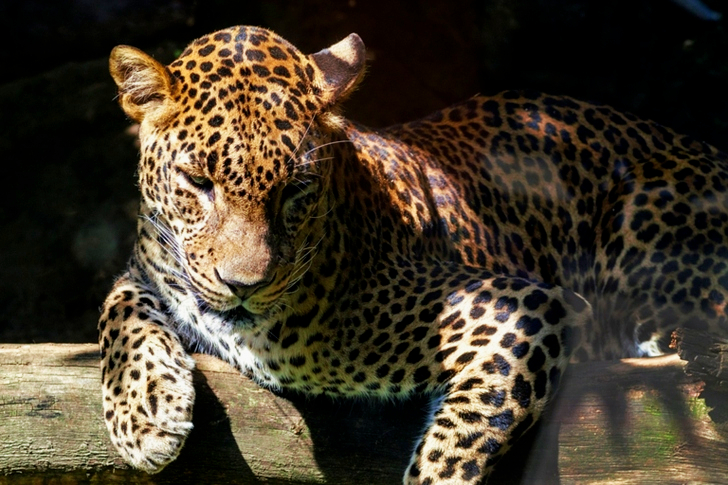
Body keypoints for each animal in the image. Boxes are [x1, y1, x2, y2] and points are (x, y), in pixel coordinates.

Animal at [100, 24, 728, 484]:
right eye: (196, 181)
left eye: (295, 191)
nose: (244, 286)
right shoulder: (148, 264)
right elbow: (119, 307)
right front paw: (146, 411)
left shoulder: (528, 307)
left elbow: (464, 433)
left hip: (646, 206)